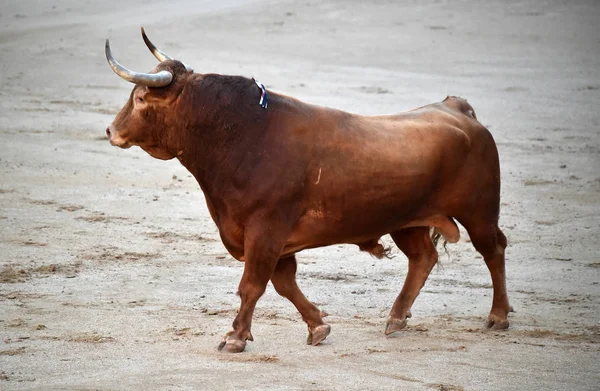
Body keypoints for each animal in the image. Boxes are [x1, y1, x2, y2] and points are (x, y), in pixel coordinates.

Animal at [103, 29, 510, 354]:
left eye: (140, 99)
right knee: (423, 257)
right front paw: (318, 326)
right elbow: (284, 285)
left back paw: (498, 316)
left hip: (478, 211)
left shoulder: (266, 231)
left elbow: (252, 285)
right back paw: (396, 318)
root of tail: (459, 110)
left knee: (493, 250)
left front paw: (235, 337)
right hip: (405, 220)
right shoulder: (273, 241)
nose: (110, 131)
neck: (240, 135)